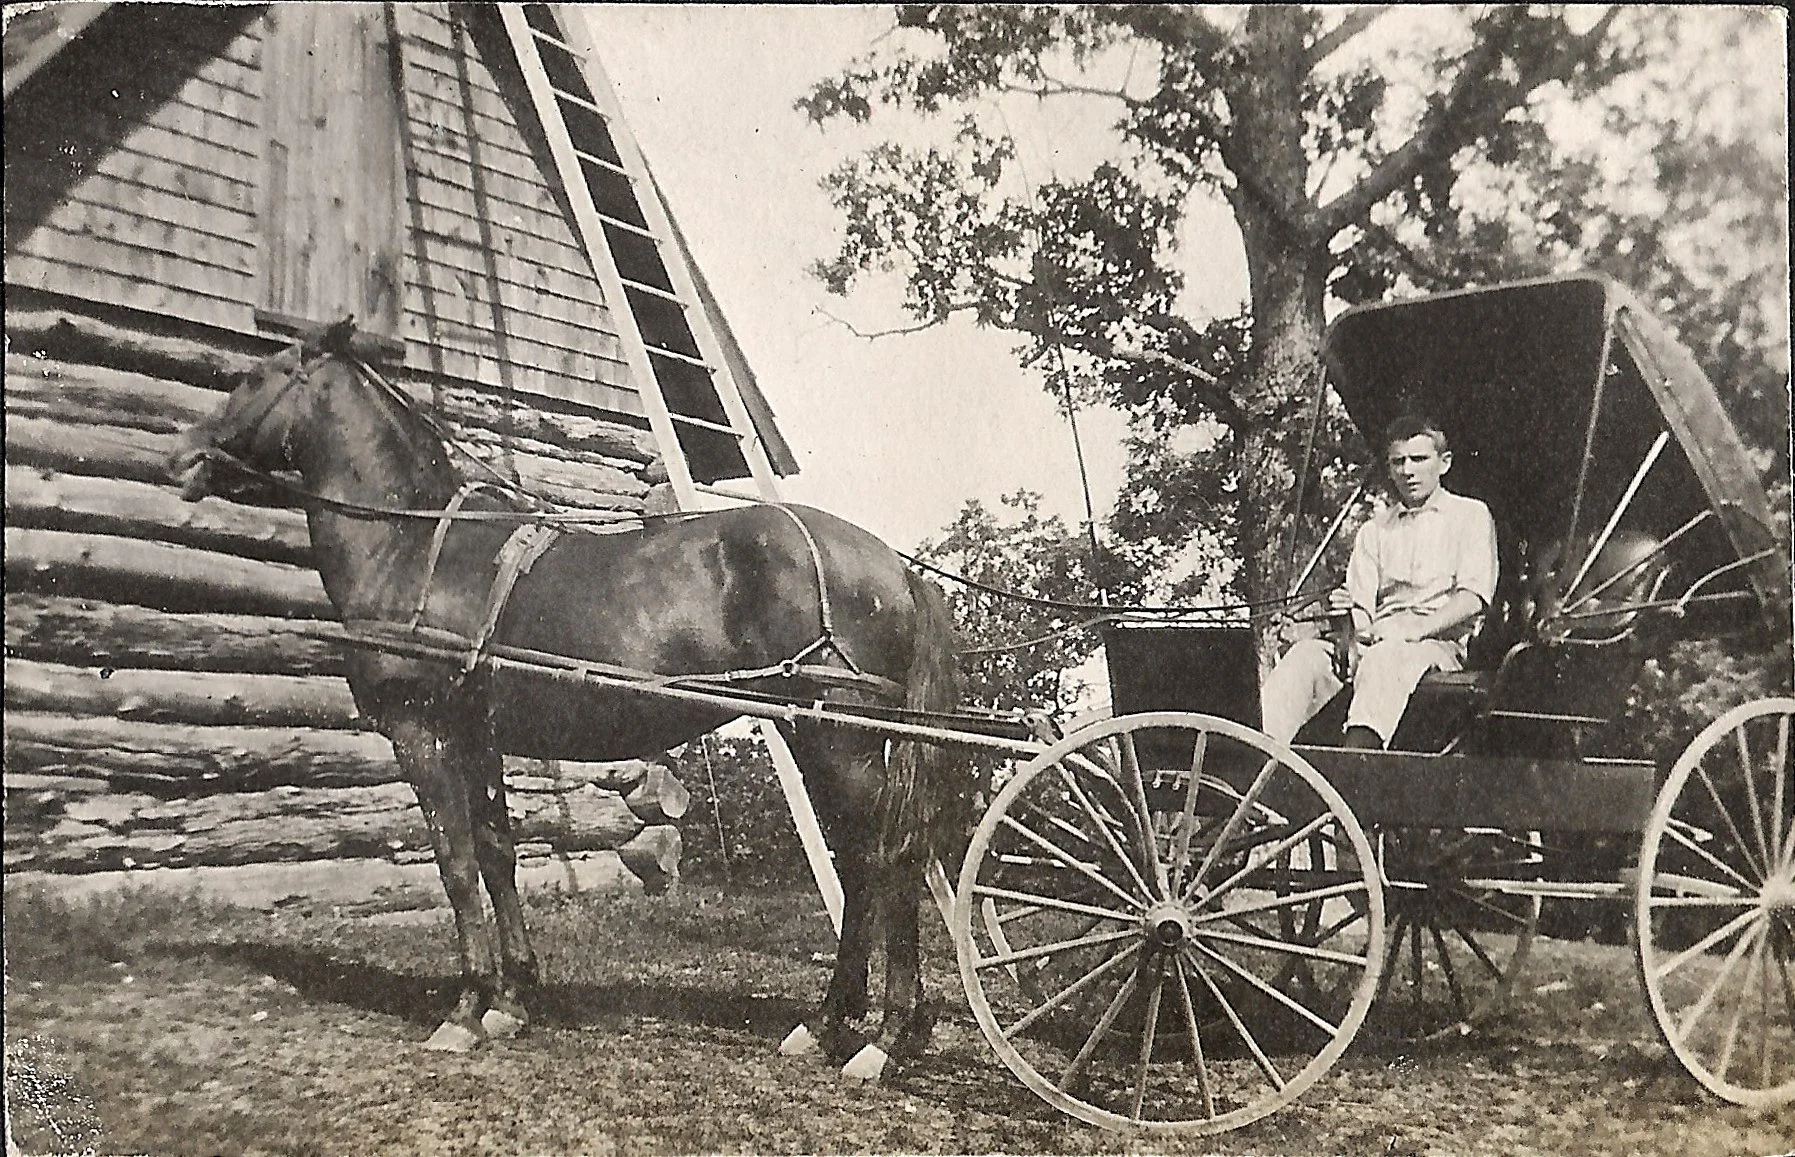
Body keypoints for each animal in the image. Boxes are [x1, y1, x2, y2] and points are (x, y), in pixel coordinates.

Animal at [169, 319, 966, 1078]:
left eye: (258, 375)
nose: (182, 456)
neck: (413, 548)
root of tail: (894, 566)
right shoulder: (477, 734)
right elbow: (496, 854)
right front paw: (510, 999)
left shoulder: (422, 732)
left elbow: (455, 863)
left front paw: (465, 1008)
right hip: (816, 737)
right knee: (861, 864)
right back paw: (827, 1024)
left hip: (841, 742)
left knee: (887, 859)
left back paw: (885, 1038)